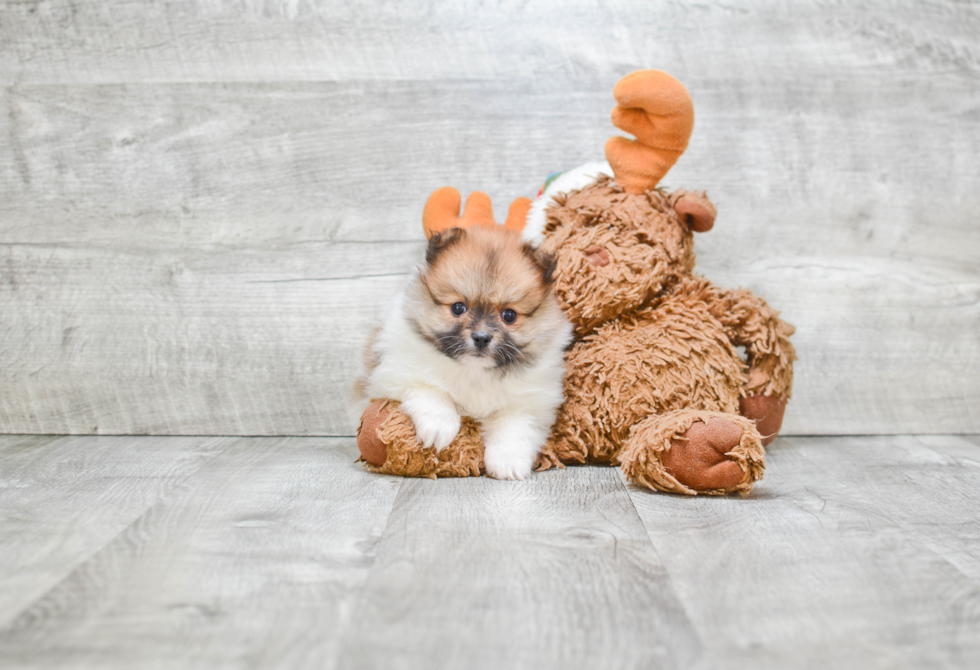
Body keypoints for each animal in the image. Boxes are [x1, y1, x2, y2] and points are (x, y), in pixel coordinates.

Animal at [352, 226, 572, 484]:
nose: (481, 337)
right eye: (458, 308)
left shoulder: (529, 403)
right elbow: (432, 392)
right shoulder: (398, 373)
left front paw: (508, 462)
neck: (474, 371)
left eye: (509, 315)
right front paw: (439, 428)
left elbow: (512, 429)